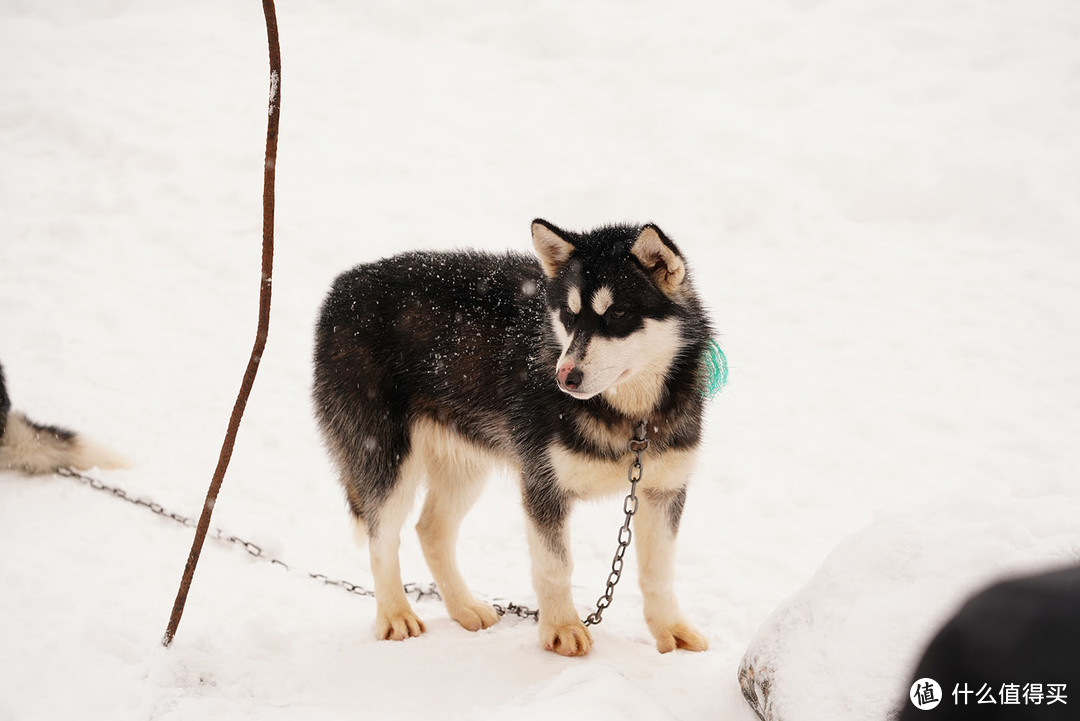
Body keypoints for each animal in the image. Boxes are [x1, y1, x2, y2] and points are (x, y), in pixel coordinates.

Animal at [313, 218, 717, 651]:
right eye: (569, 315)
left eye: (620, 312)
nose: (565, 376)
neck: (632, 418)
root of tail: (342, 286)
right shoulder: (543, 484)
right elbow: (555, 566)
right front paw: (561, 629)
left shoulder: (663, 489)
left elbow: (658, 572)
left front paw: (670, 629)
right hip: (387, 461)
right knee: (383, 538)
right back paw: (395, 615)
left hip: (464, 465)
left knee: (431, 531)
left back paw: (464, 608)